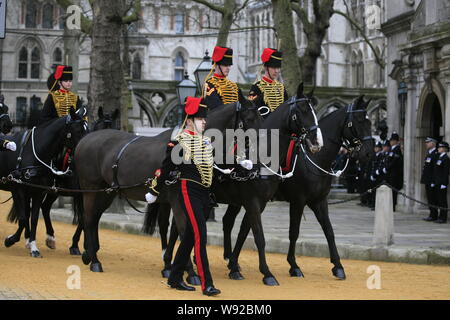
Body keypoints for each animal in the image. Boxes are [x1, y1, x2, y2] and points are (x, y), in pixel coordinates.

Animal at [3, 108, 88, 258]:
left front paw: (33, 246)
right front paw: (11, 240)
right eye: (78, 130)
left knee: (42, 208)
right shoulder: (17, 188)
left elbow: (33, 218)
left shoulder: (38, 191)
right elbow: (24, 218)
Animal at [74, 97, 260, 272]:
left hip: (107, 191)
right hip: (90, 188)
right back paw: (94, 260)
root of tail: (85, 139)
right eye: (249, 119)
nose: (260, 147)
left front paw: (171, 264)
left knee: (94, 217)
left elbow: (172, 229)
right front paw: (185, 269)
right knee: (88, 218)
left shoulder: (173, 200)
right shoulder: (177, 199)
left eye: (259, 117)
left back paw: (89, 253)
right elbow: (181, 229)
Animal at [142, 82, 322, 284]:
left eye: (313, 111)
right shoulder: (252, 202)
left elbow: (244, 232)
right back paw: (178, 267)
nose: (316, 142)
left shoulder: (258, 203)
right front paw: (267, 273)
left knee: (179, 227)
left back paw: (176, 264)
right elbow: (259, 237)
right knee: (173, 225)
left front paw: (234, 266)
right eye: (301, 111)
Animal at [223, 94, 374, 280]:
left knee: (233, 223)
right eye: (359, 121)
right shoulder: (298, 201)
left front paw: (337, 266)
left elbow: (329, 231)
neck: (314, 159)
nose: (369, 153)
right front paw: (294, 265)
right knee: (230, 222)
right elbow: (294, 232)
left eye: (369, 122)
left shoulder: (319, 201)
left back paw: (231, 261)